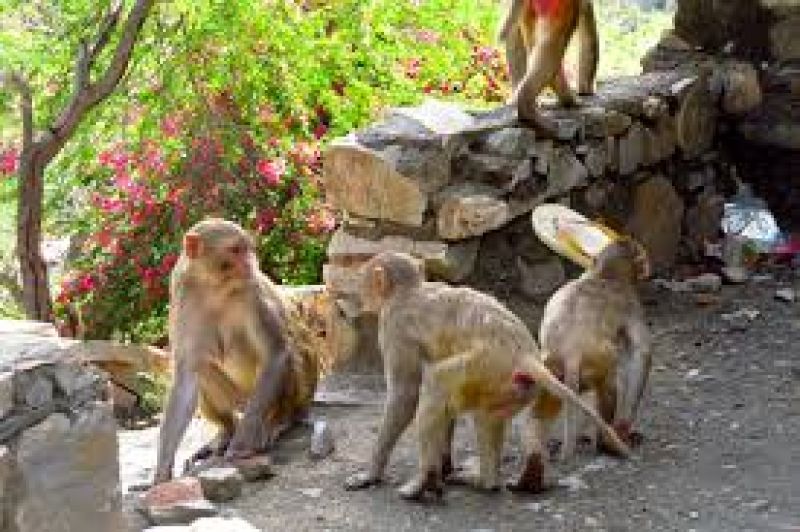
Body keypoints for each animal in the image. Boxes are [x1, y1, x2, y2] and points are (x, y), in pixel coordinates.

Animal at [153, 218, 318, 484]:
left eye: (247, 248)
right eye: (235, 249)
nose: (252, 262)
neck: (214, 285)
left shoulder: (252, 291)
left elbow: (276, 352)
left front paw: (243, 443)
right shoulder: (182, 295)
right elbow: (186, 377)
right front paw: (161, 473)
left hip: (275, 398)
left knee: (289, 352)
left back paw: (280, 420)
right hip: (238, 400)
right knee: (203, 366)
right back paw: (227, 430)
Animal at [343, 251, 629, 502]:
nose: (360, 296)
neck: (409, 290)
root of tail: (524, 355)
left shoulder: (393, 325)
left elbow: (405, 394)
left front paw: (371, 474)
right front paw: (445, 465)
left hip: (484, 365)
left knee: (437, 382)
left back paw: (424, 483)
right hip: (512, 385)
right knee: (488, 415)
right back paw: (497, 480)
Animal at [509, 238, 651, 493]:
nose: (647, 268)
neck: (603, 274)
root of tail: (570, 353)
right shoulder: (631, 303)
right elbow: (641, 354)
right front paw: (624, 427)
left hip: (550, 374)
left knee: (539, 414)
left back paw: (531, 476)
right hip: (598, 362)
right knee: (610, 384)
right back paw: (607, 443)